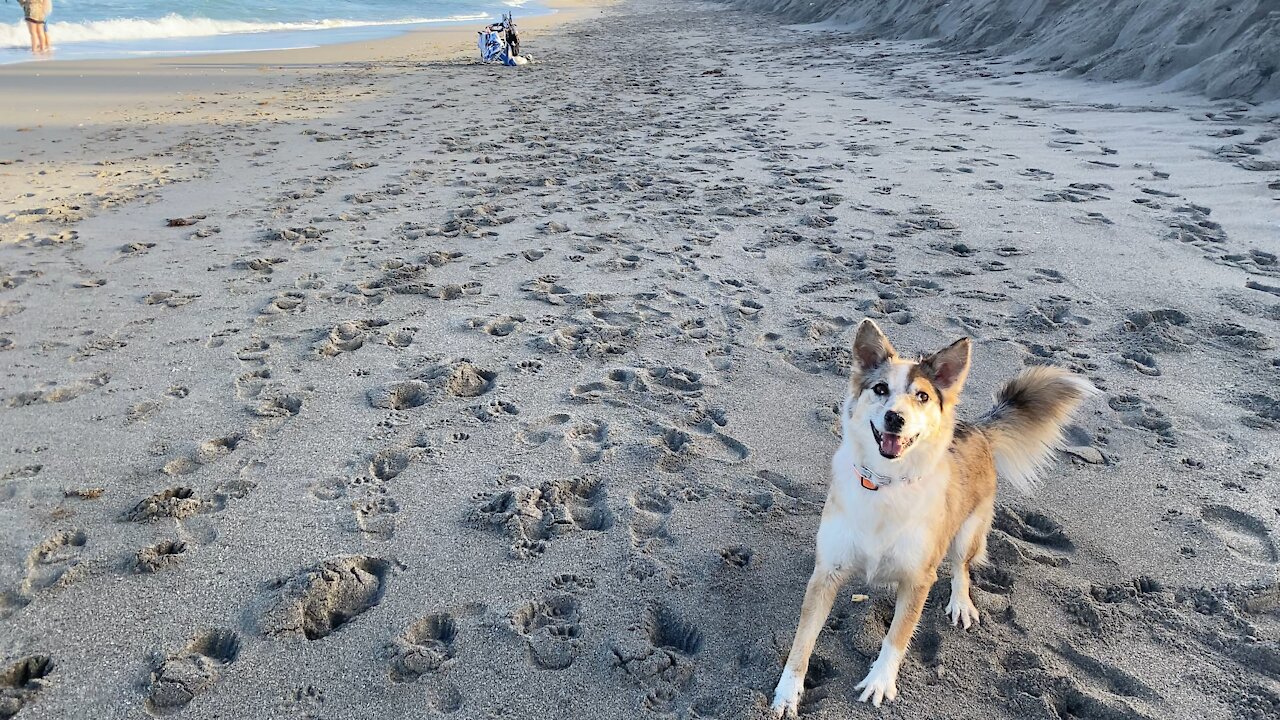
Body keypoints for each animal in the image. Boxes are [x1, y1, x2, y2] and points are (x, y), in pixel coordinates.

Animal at [768, 319, 1090, 712]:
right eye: (880, 389)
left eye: (921, 396)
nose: (895, 417)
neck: (886, 482)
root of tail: (976, 428)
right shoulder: (826, 574)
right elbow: (803, 640)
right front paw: (788, 691)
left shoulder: (920, 579)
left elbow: (897, 635)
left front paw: (880, 681)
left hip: (968, 531)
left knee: (961, 568)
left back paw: (961, 603)